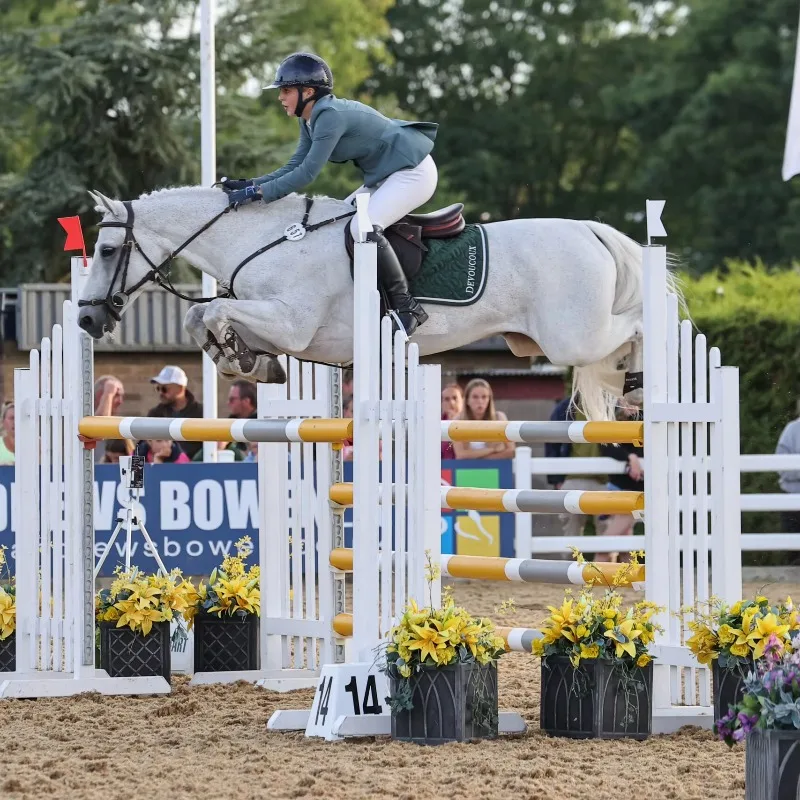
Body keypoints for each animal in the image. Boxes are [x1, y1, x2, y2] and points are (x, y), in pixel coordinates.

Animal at [78, 186, 669, 420]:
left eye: (106, 250)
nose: (85, 318)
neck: (265, 238)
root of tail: (590, 229)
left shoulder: (291, 323)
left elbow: (212, 311)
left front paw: (241, 357)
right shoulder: (289, 330)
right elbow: (199, 314)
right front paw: (248, 361)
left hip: (573, 336)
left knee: (640, 325)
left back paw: (641, 388)